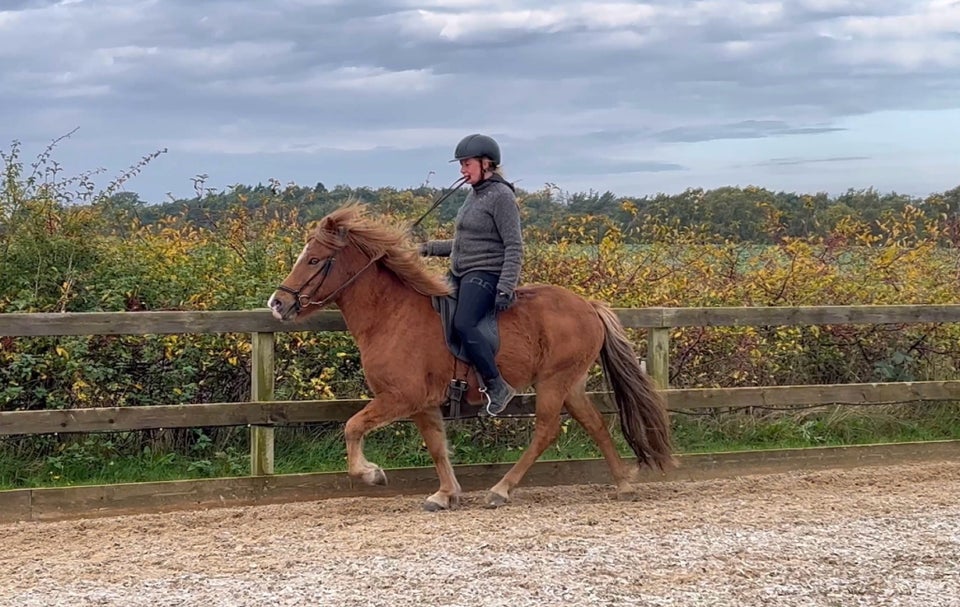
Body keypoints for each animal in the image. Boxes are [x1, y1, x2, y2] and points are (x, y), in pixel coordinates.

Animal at [266, 205, 676, 512]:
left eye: (314, 259)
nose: (278, 303)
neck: (391, 314)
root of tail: (589, 306)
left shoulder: (401, 397)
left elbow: (352, 426)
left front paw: (371, 474)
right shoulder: (423, 403)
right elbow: (436, 446)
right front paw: (445, 495)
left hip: (553, 382)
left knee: (545, 432)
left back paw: (501, 490)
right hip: (570, 383)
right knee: (596, 425)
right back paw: (623, 484)